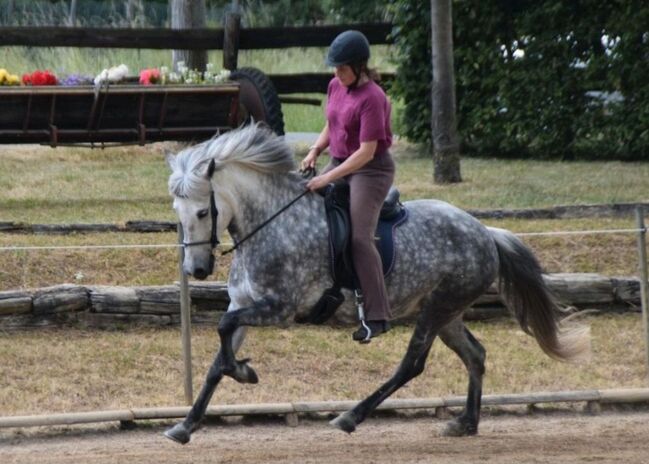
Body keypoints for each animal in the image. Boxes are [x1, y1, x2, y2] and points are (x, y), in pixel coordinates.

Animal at [162, 123, 588, 446]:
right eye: (177, 213)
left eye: (202, 212)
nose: (196, 269)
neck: (271, 222)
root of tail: (485, 232)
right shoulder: (243, 305)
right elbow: (217, 357)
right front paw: (186, 425)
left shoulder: (279, 309)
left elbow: (222, 330)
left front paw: (243, 372)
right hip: (446, 311)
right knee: (475, 355)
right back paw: (466, 423)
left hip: (437, 309)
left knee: (412, 364)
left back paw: (351, 417)